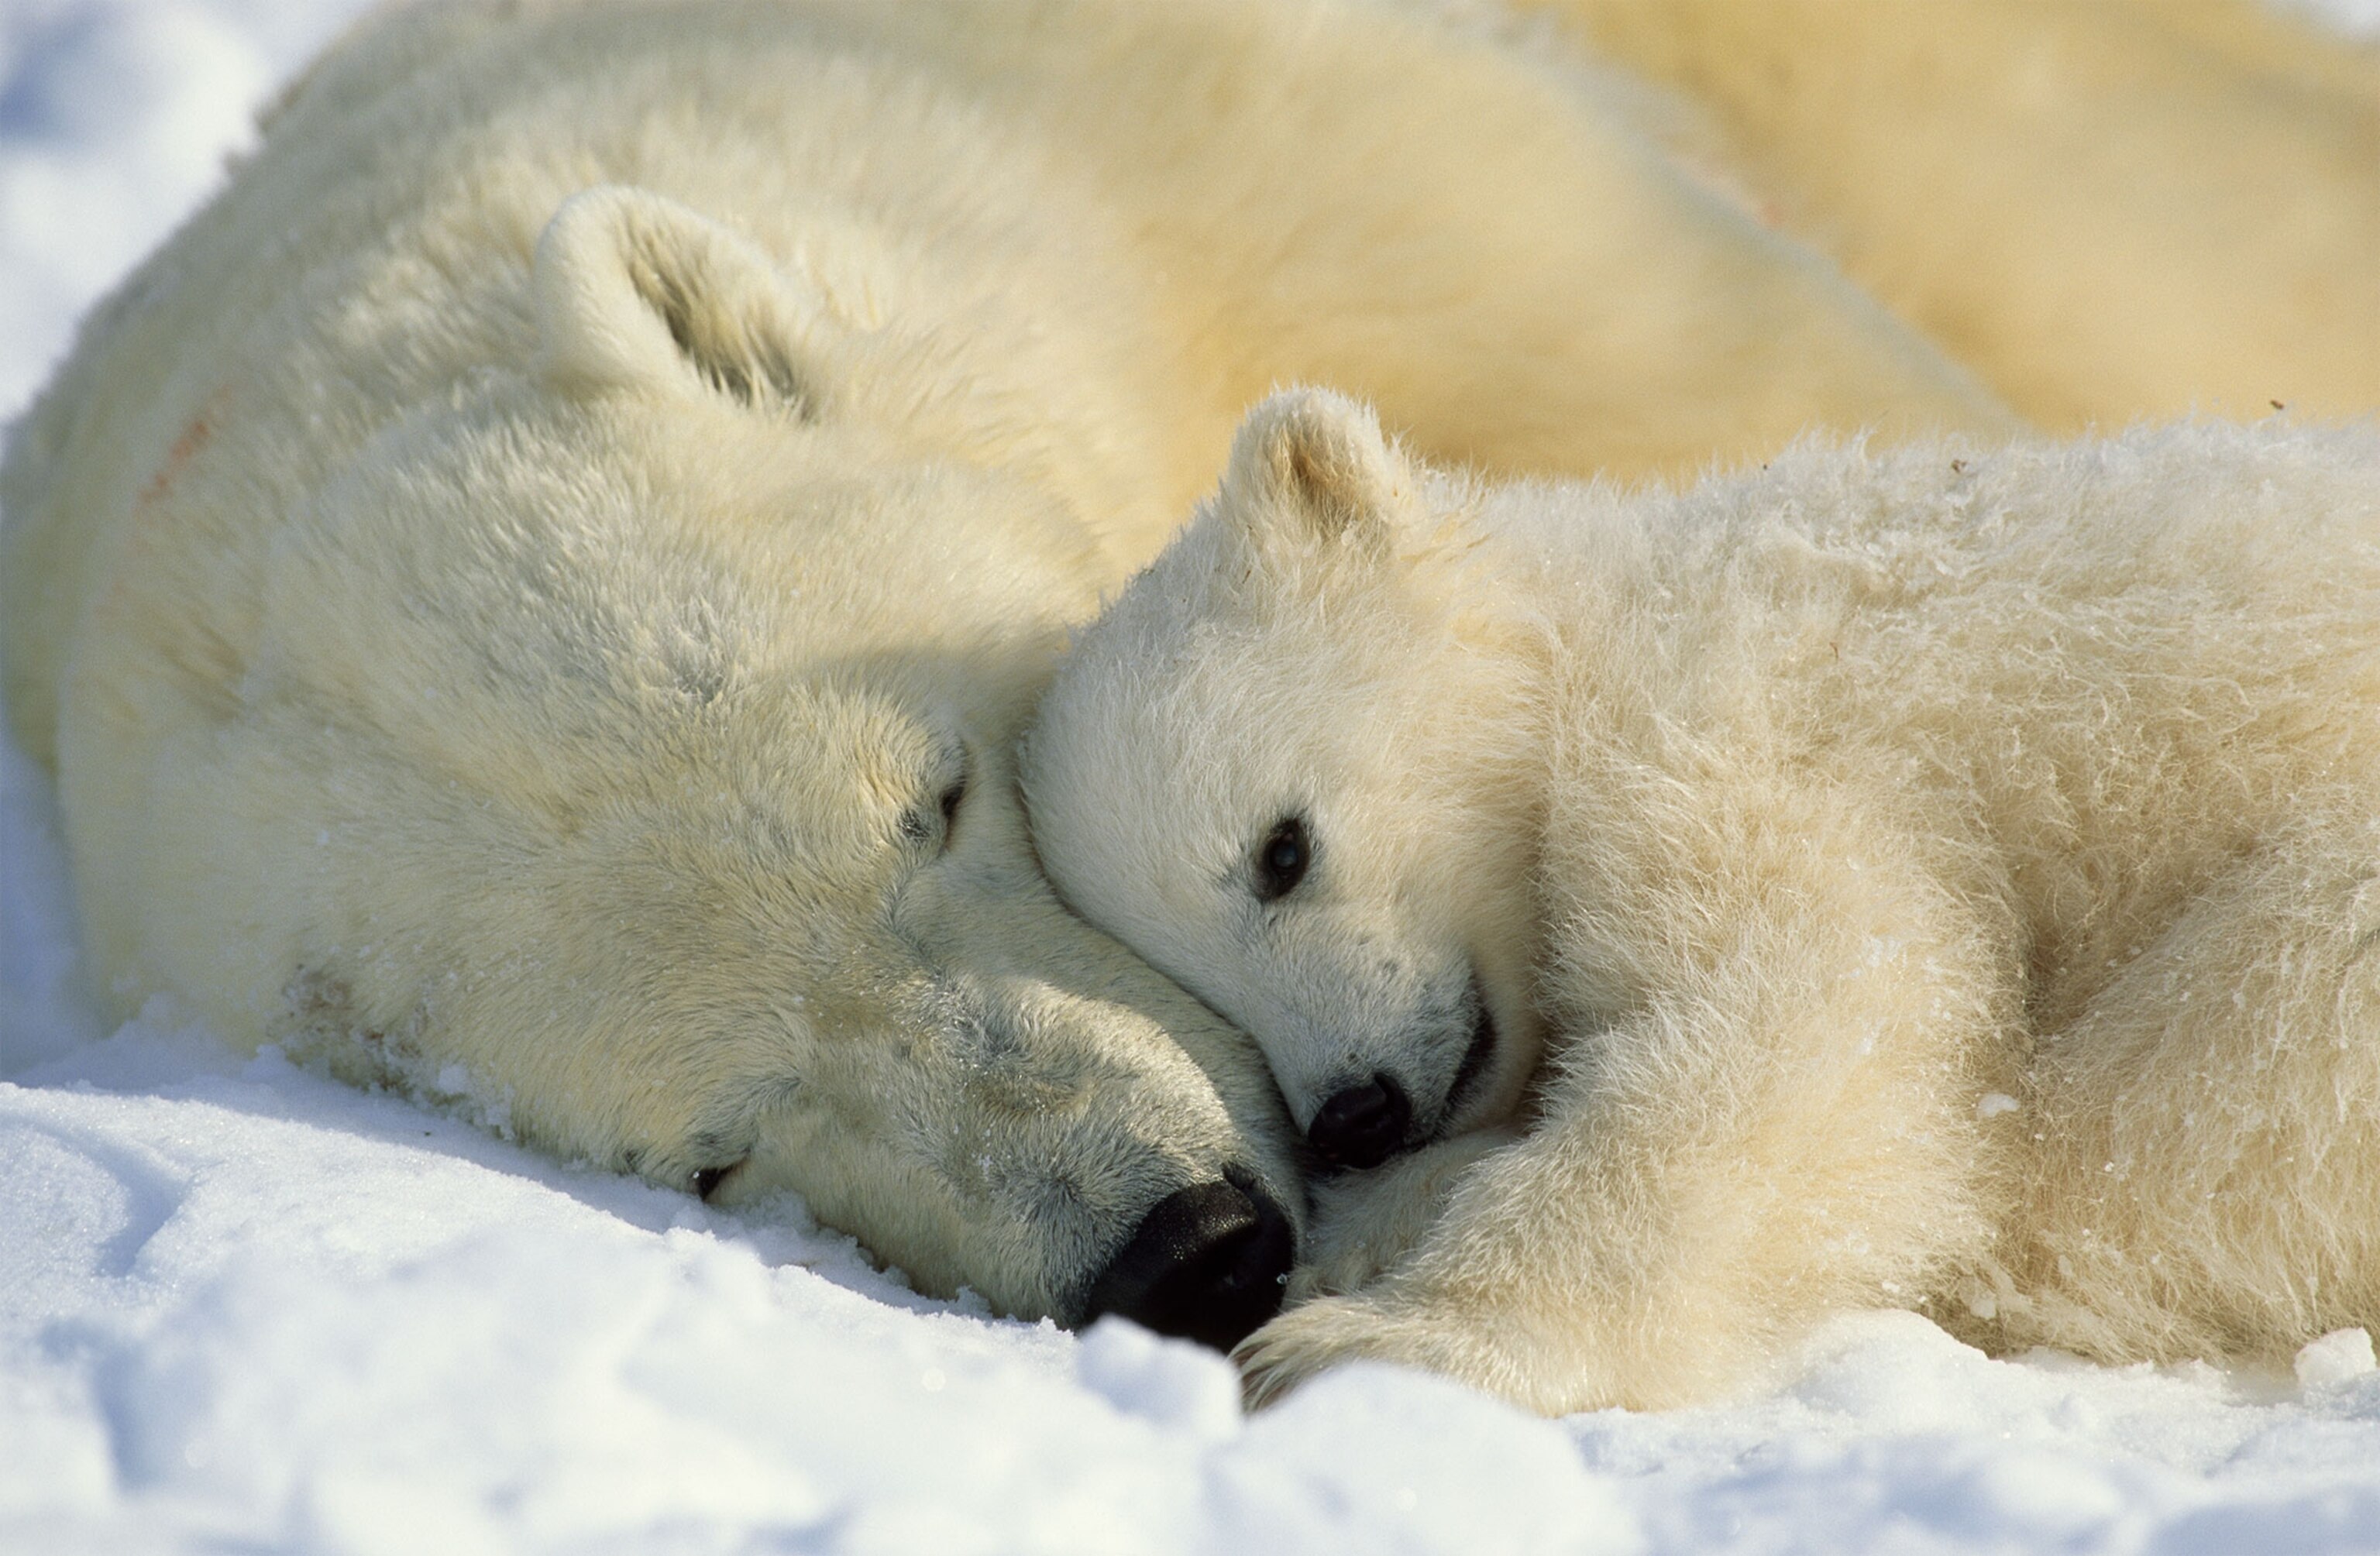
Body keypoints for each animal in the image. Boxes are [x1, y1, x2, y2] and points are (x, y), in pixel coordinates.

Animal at [1019, 387, 2380, 1412]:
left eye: (1281, 852)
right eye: (1197, 986)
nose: (1355, 1114)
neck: (1610, 619)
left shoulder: (1733, 724)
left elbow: (1799, 1028)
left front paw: (1362, 1342)